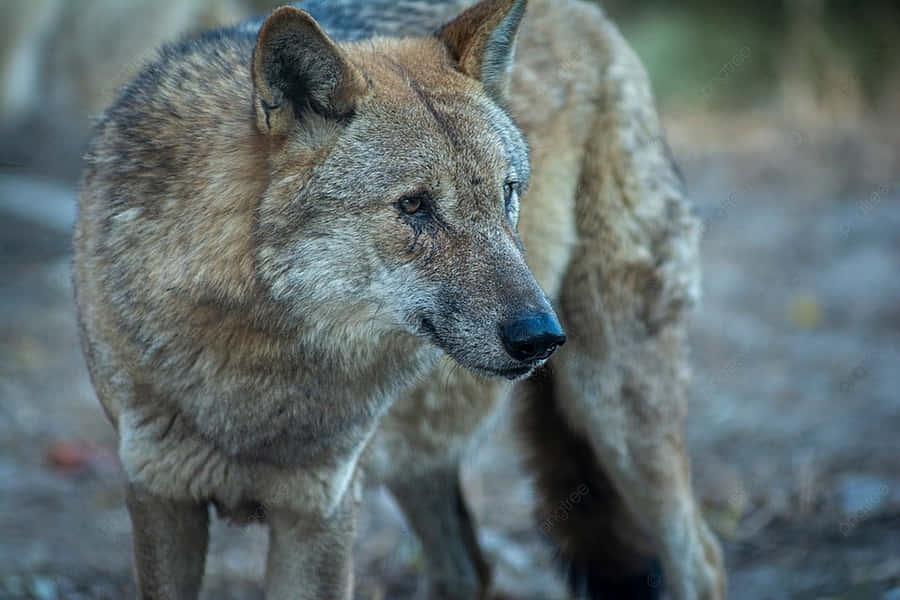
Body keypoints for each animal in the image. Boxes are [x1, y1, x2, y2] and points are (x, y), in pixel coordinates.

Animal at [74, 1, 725, 599]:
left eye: (507, 193)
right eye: (414, 206)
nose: (541, 337)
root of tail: (592, 16)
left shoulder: (323, 513)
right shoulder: (158, 495)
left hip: (618, 411)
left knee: (704, 557)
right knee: (469, 568)